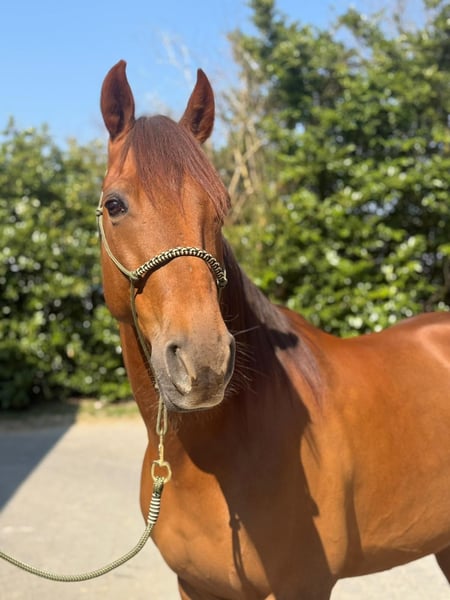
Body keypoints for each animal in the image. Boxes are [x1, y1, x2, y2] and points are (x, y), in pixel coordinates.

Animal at [98, 60, 450, 599]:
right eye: (115, 205)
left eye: (221, 207)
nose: (203, 361)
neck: (213, 458)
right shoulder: (193, 585)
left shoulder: (305, 585)